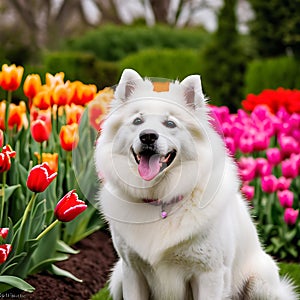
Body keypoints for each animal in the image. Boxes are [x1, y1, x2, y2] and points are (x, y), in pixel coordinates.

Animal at [95, 69, 296, 298]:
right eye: (138, 121)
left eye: (170, 124)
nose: (147, 137)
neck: (161, 200)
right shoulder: (132, 272)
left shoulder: (209, 274)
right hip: (117, 278)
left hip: (259, 283)